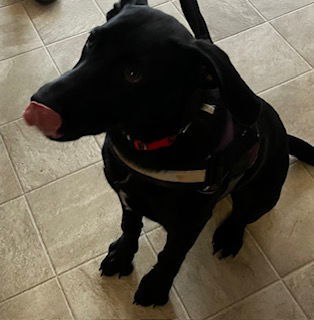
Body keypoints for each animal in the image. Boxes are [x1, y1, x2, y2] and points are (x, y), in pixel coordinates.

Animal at [22, 0, 314, 308]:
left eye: (133, 74)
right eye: (91, 41)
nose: (39, 104)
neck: (152, 144)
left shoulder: (188, 224)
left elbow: (170, 256)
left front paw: (155, 286)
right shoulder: (128, 200)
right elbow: (129, 228)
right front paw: (122, 255)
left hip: (262, 194)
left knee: (242, 215)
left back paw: (230, 236)